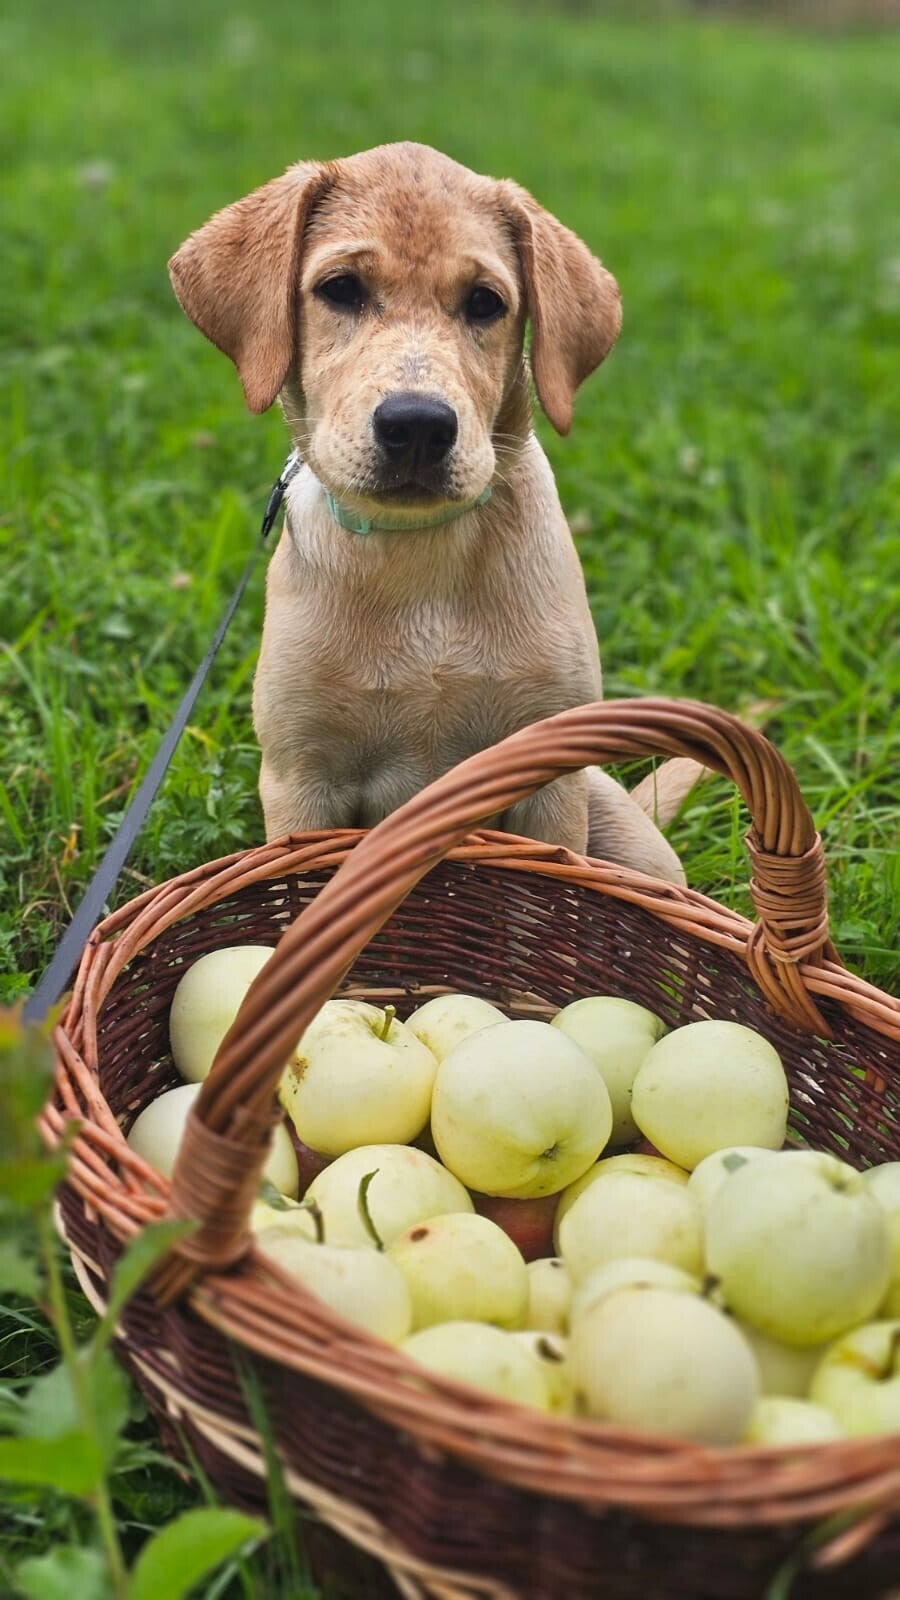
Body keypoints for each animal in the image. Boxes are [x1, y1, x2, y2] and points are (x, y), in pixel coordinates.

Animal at [169, 142, 690, 883]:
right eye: (341, 290)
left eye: (484, 303)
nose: (416, 425)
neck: (418, 551)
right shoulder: (300, 782)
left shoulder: (549, 784)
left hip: (622, 826)